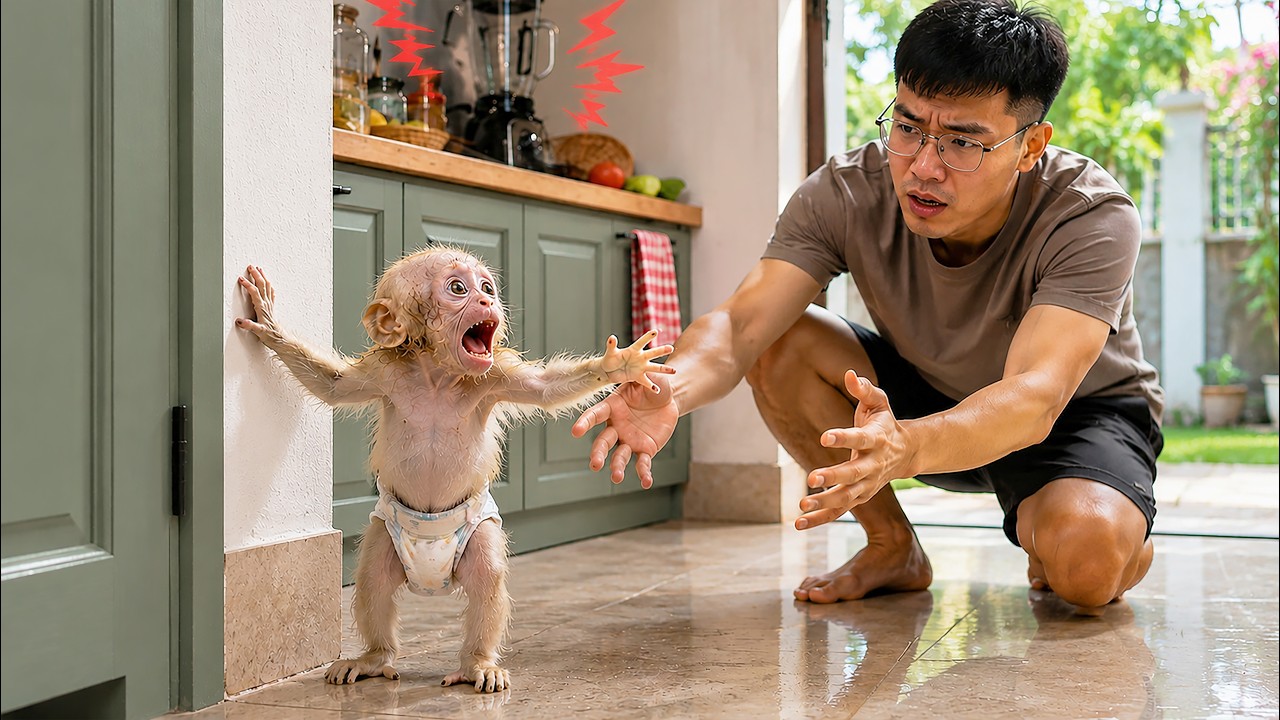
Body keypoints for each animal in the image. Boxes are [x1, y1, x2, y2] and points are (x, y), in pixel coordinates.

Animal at [235, 246, 674, 693]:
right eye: (458, 288)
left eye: (487, 287)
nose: (487, 301)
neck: (438, 375)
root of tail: (431, 583)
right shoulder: (384, 373)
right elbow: (333, 384)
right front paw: (268, 324)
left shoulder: (496, 376)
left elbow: (545, 389)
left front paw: (621, 364)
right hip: (385, 535)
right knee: (374, 579)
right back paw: (375, 658)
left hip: (477, 533)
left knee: (486, 580)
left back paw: (477, 664)